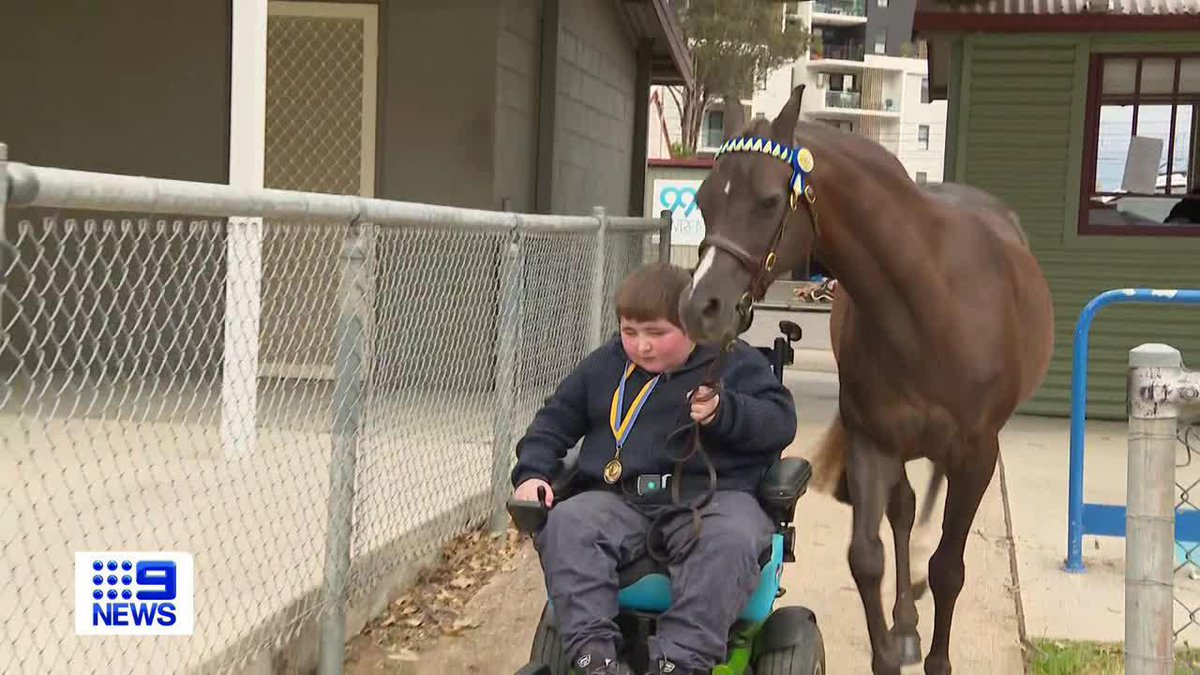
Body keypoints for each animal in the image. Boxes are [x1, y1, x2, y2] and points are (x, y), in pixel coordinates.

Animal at [677, 85, 1054, 675]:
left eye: (768, 200)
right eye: (704, 200)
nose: (700, 307)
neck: (930, 305)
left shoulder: (977, 456)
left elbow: (947, 568)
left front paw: (937, 658)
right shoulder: (872, 443)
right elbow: (867, 559)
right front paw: (891, 645)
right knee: (902, 513)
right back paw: (905, 625)